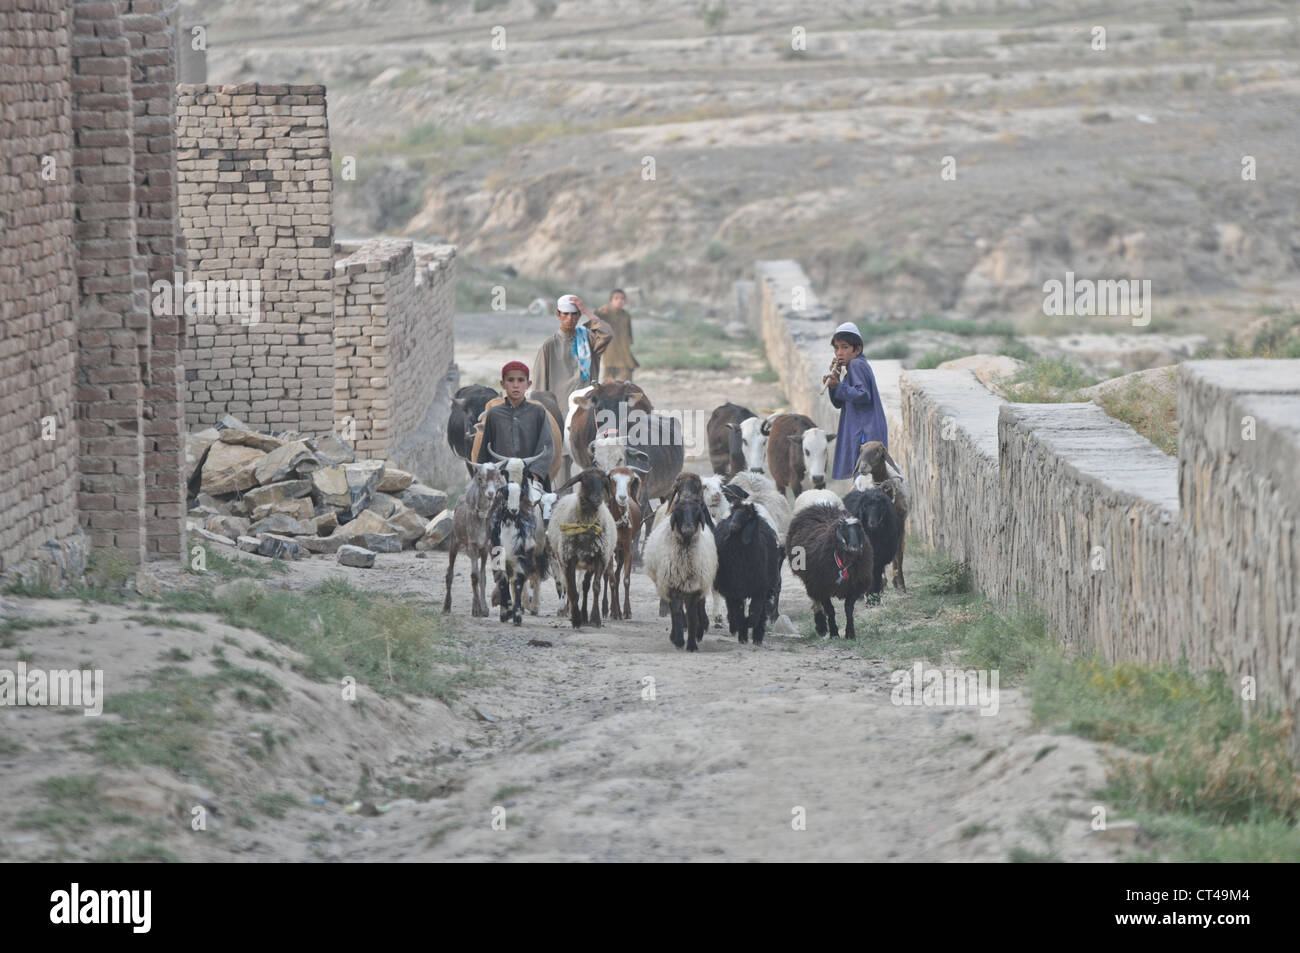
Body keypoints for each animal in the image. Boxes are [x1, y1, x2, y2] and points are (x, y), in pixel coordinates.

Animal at [780, 501, 873, 634]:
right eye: (843, 529)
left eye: (859, 529)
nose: (855, 548)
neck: (844, 563)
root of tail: (819, 505)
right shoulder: (821, 586)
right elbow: (830, 610)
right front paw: (834, 632)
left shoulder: (855, 587)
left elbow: (848, 609)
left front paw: (850, 632)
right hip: (810, 579)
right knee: (815, 600)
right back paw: (821, 626)